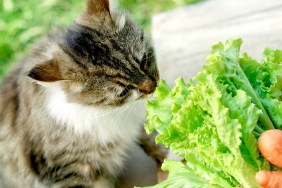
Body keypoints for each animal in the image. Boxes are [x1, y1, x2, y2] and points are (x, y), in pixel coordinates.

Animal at [0, 0, 167, 187]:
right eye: (123, 91)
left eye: (143, 61)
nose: (152, 87)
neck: (105, 112)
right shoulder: (72, 171)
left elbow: (153, 138)